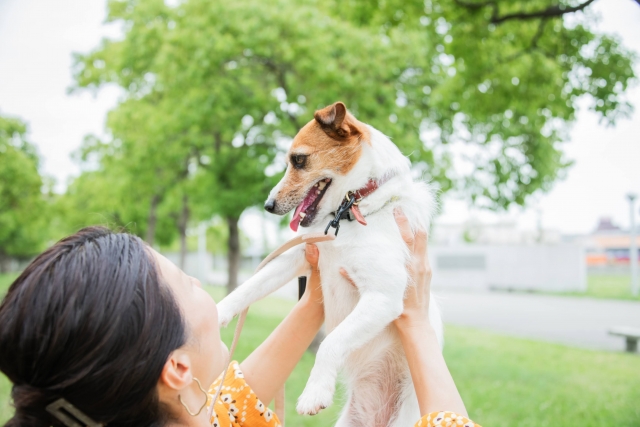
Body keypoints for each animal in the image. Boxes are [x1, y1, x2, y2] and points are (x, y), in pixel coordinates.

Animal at [218, 102, 442, 426]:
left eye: (299, 160)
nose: (268, 206)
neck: (351, 212)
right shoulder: (302, 255)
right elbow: (250, 286)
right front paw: (216, 312)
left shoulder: (383, 297)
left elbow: (331, 342)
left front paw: (315, 392)